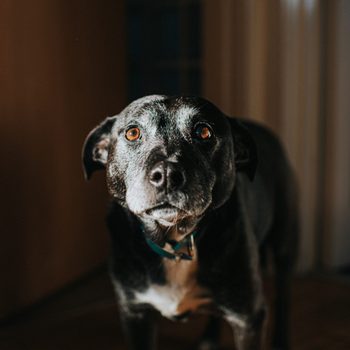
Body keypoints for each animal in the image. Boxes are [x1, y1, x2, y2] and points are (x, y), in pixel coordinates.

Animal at [82, 95, 298, 350]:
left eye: (204, 132)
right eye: (133, 133)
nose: (166, 174)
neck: (174, 241)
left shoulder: (248, 319)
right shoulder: (135, 313)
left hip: (284, 245)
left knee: (283, 295)